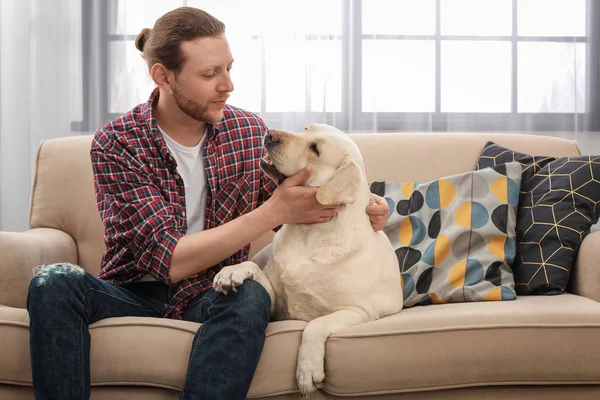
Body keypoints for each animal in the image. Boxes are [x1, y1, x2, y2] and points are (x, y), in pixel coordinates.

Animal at [212, 123, 404, 396]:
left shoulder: (358, 311)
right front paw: (232, 271)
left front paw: (307, 370)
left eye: (316, 149)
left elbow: (316, 325)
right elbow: (253, 269)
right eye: (306, 129)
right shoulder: (276, 305)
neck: (308, 232)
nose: (270, 134)